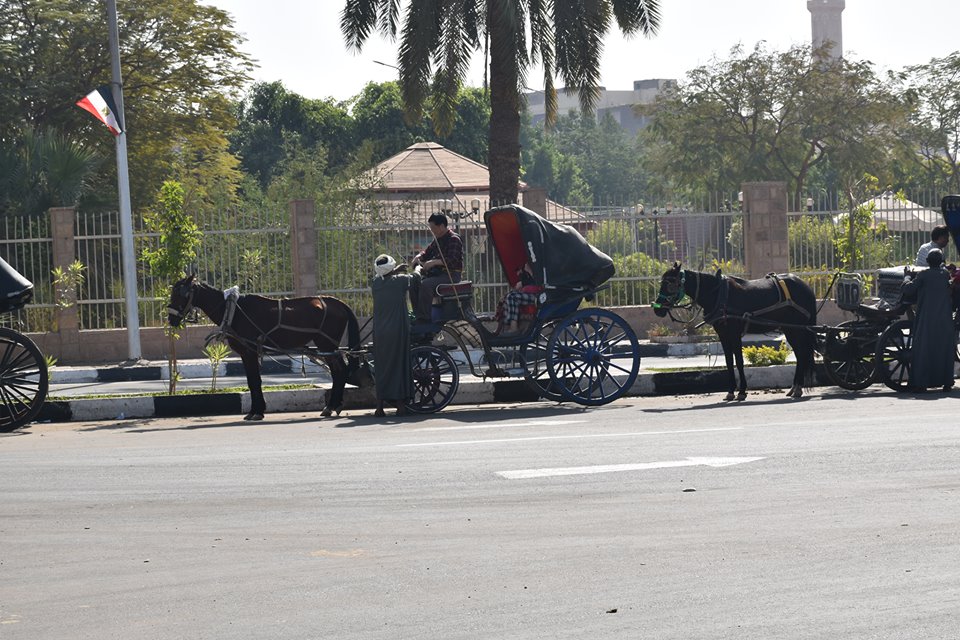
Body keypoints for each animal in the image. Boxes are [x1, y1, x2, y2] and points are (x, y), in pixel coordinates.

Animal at [167, 276, 366, 420]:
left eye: (180, 293)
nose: (171, 319)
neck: (234, 311)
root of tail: (338, 303)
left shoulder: (249, 352)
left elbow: (254, 381)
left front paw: (256, 412)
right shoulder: (248, 353)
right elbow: (252, 381)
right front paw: (256, 410)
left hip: (326, 343)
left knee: (340, 370)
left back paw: (333, 405)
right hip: (327, 346)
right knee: (338, 371)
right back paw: (332, 406)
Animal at [652, 262, 816, 398]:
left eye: (671, 283)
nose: (657, 309)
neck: (717, 294)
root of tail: (805, 286)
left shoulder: (734, 333)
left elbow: (739, 361)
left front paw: (742, 391)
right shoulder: (723, 334)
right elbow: (729, 361)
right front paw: (731, 391)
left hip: (797, 329)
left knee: (802, 354)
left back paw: (798, 388)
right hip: (789, 329)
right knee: (800, 355)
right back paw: (794, 388)